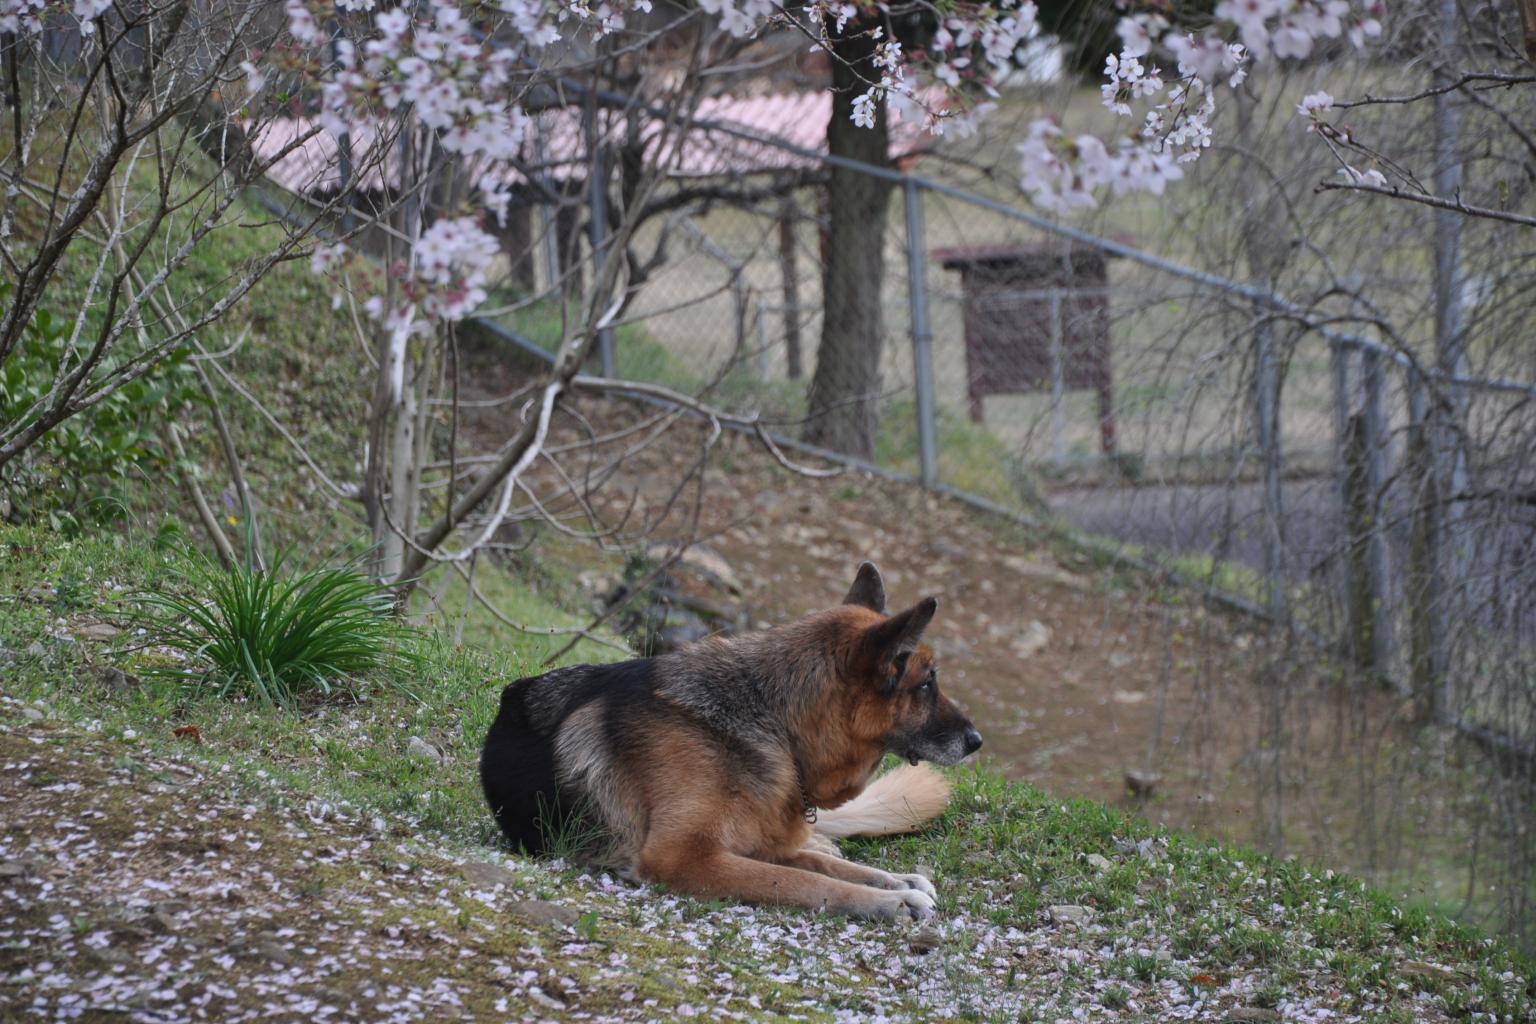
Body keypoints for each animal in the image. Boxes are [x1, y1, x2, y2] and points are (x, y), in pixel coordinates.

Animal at [479, 562, 982, 920]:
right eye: (926, 684)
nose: (976, 740)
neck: (775, 724)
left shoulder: (757, 846)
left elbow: (832, 869)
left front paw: (899, 881)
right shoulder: (684, 857)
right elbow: (806, 883)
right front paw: (892, 902)